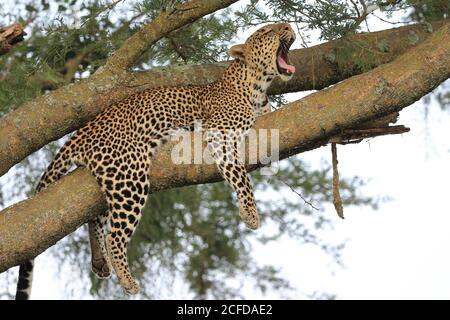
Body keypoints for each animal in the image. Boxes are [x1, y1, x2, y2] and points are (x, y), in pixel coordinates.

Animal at [14, 22, 296, 300]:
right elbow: (240, 175)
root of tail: (82, 131)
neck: (257, 88)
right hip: (129, 176)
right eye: (267, 31)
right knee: (114, 237)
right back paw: (128, 281)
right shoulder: (219, 133)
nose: (288, 25)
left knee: (95, 218)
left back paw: (100, 262)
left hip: (110, 178)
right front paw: (250, 214)